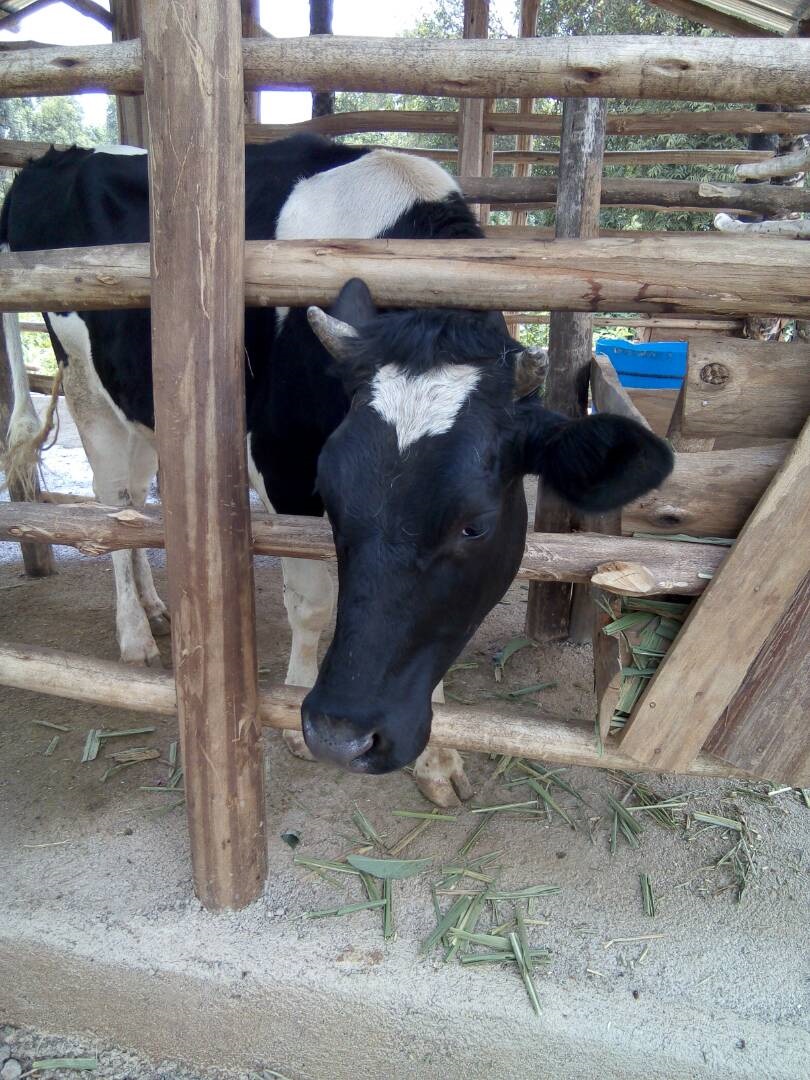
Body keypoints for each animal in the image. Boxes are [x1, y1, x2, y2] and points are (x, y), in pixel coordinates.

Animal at [1, 134, 673, 805]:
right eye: (333, 495)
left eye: (475, 525)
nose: (342, 736)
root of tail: (53, 157)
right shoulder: (283, 468)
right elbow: (313, 603)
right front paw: (296, 718)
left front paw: (439, 758)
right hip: (86, 386)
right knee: (110, 499)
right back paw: (136, 633)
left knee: (136, 502)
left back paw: (157, 606)